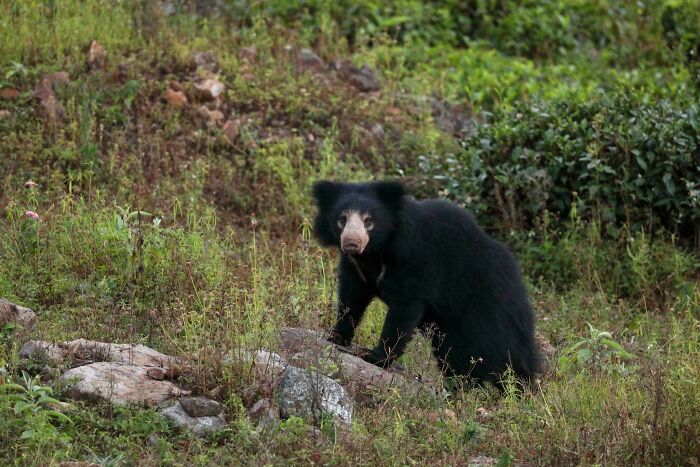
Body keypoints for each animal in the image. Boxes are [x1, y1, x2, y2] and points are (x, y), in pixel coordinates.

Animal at [312, 180, 539, 389]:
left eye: (369, 221)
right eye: (341, 219)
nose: (352, 243)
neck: (376, 252)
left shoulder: (417, 260)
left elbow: (404, 309)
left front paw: (376, 357)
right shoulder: (357, 268)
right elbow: (352, 298)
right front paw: (336, 336)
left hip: (482, 319)